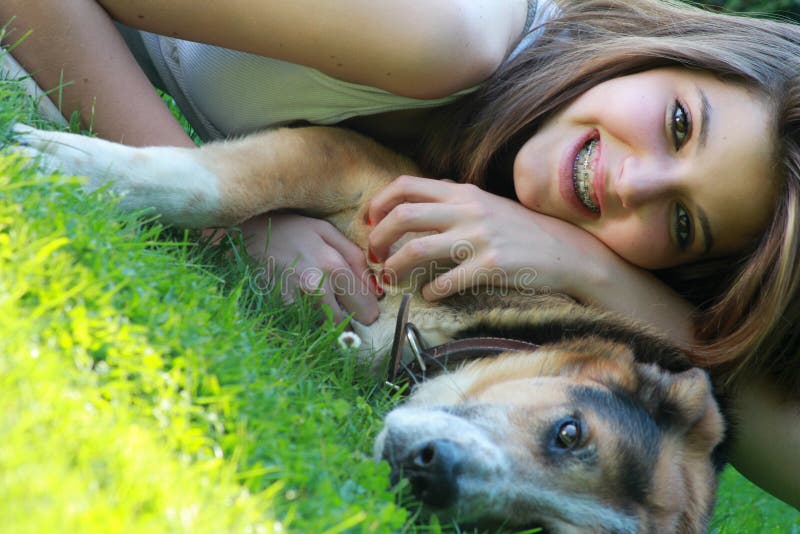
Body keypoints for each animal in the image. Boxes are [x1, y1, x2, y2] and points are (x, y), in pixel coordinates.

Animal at [9, 124, 728, 532]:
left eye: (532, 529)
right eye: (570, 432)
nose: (429, 477)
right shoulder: (363, 167)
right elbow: (214, 188)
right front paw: (60, 157)